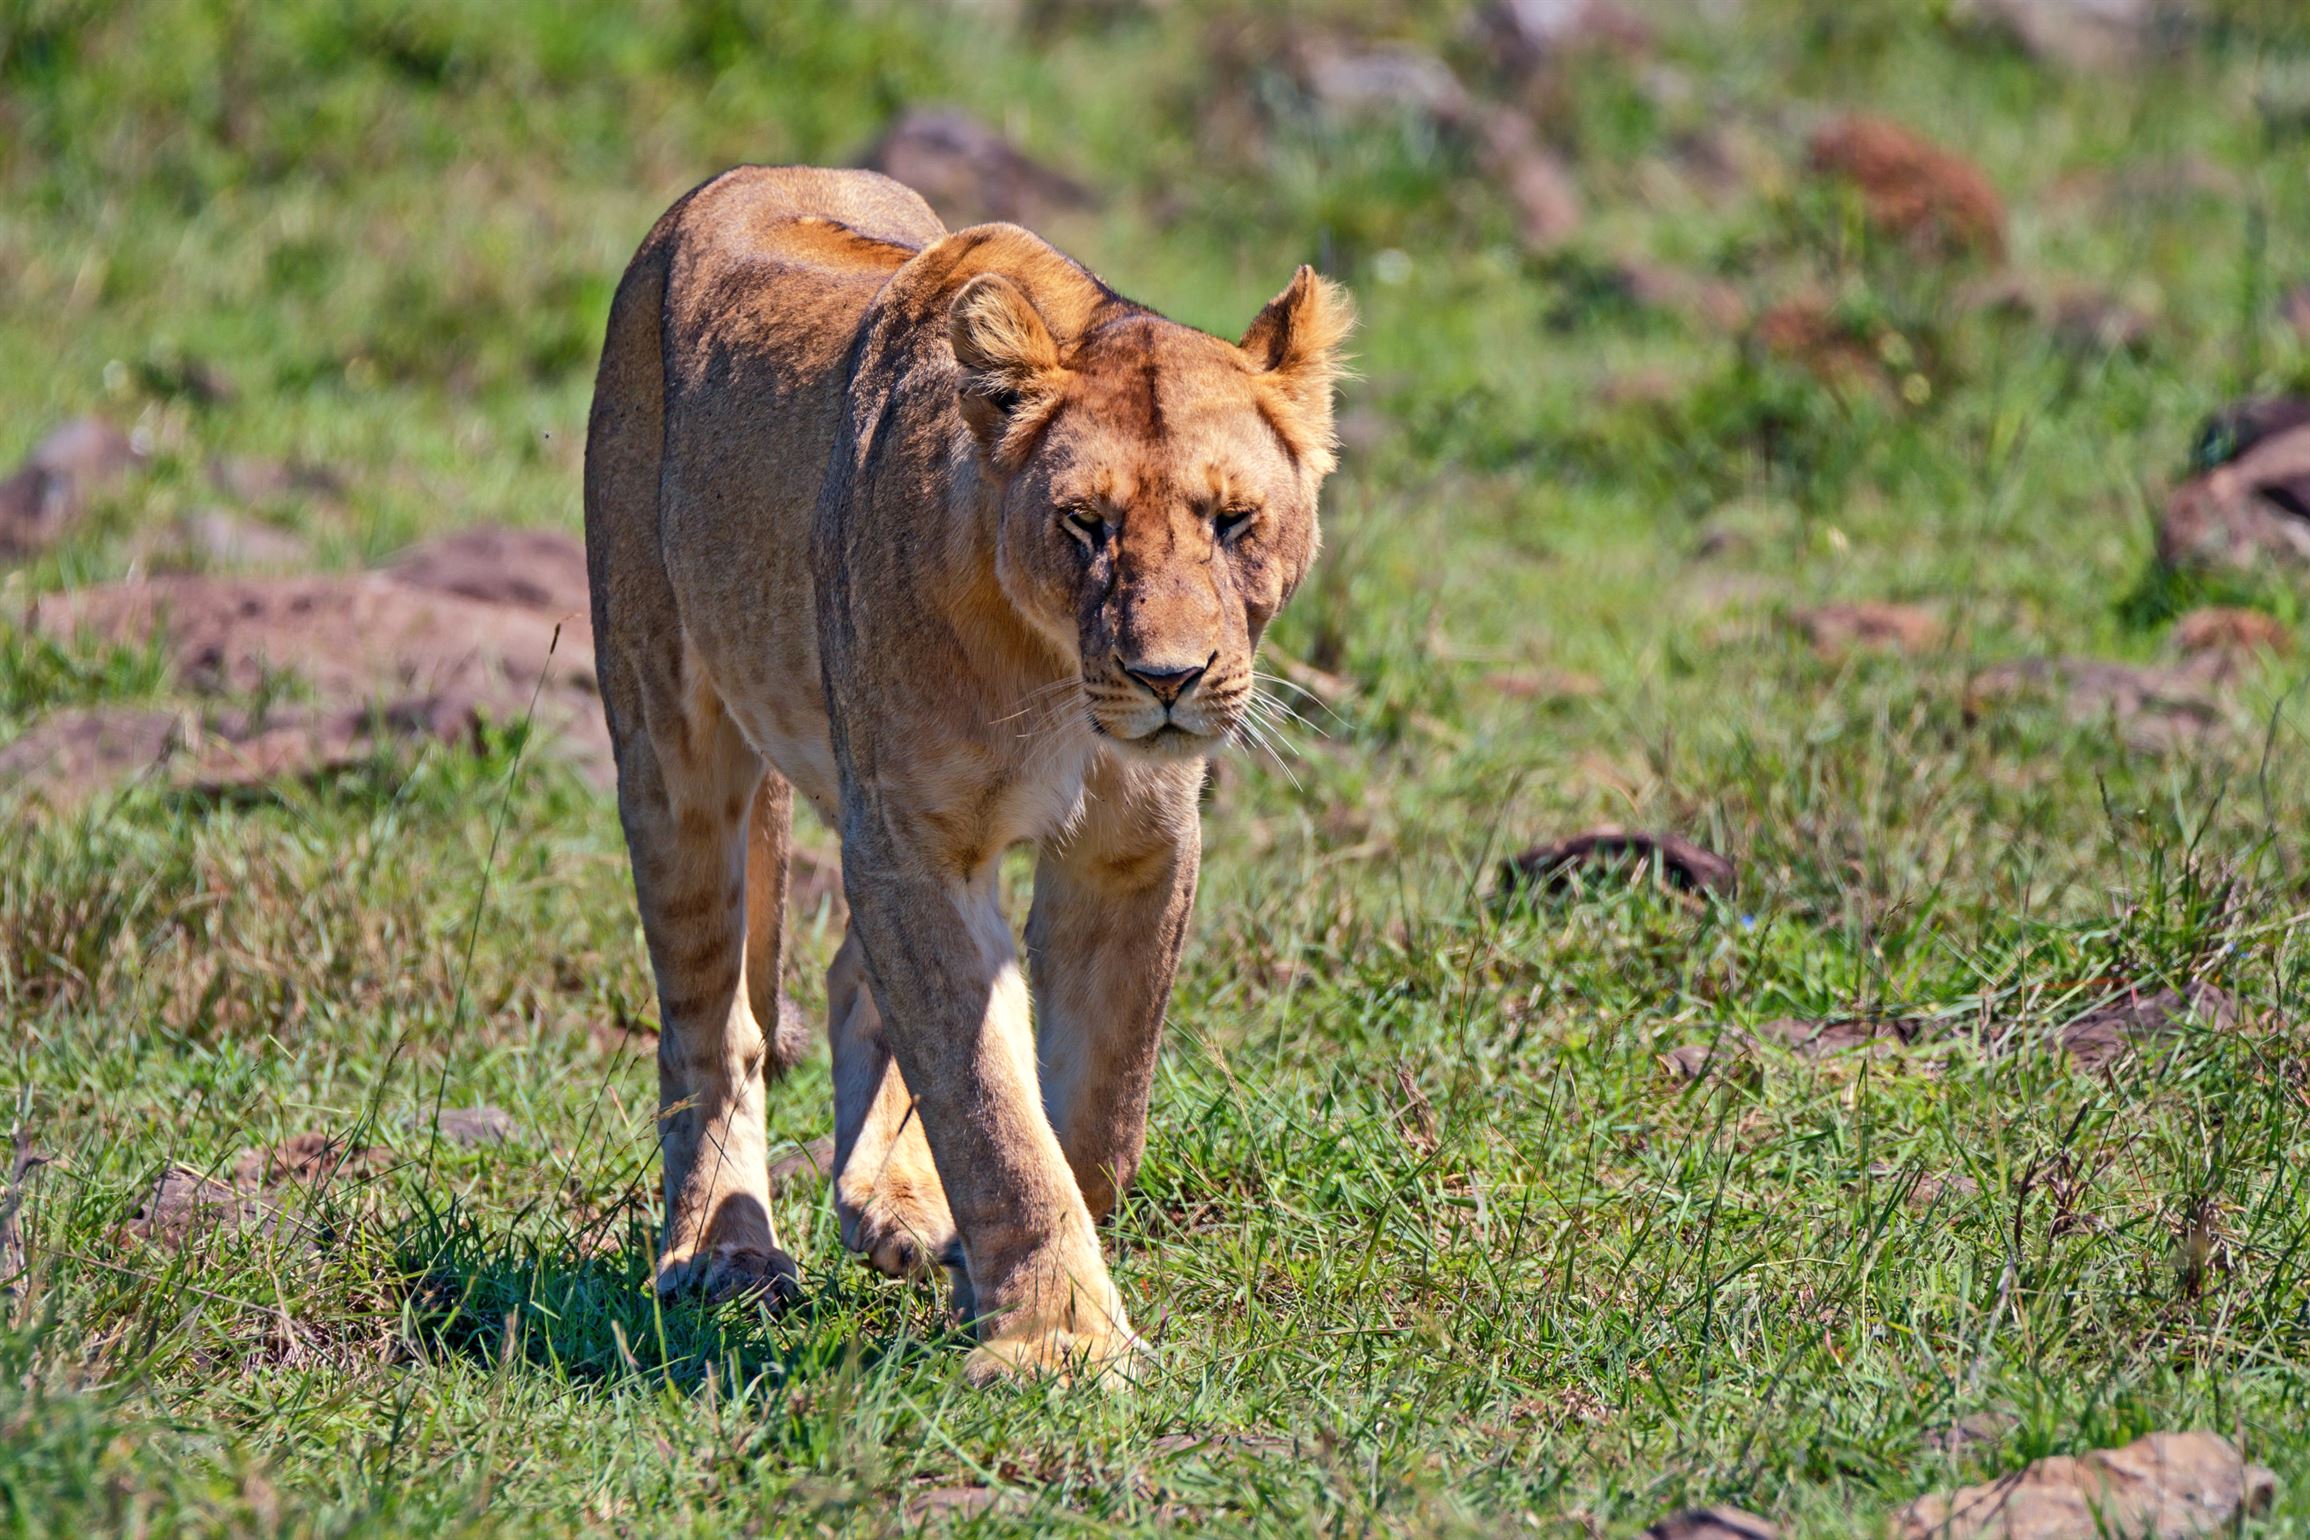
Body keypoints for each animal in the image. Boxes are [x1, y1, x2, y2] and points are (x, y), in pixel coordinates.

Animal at [584, 165, 1349, 1382]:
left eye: (1234, 521)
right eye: (1084, 525)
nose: (1169, 677)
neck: (1051, 672)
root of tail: (745, 176)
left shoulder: (1136, 845)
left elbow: (1097, 1107)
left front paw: (985, 1278)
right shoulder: (911, 838)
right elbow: (989, 1102)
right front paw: (1059, 1340)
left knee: (853, 978)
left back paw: (896, 1206)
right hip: (668, 730)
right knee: (712, 1024)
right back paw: (721, 1252)